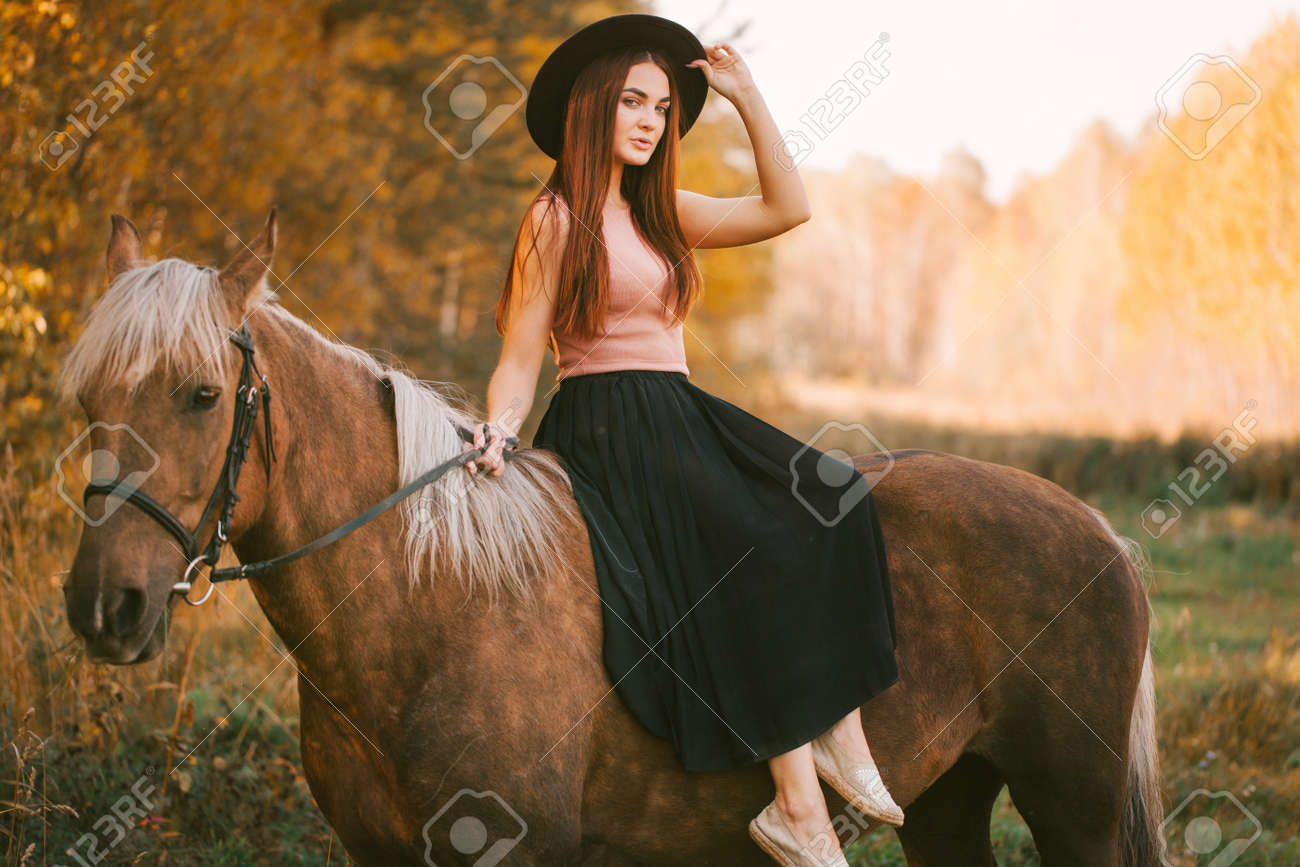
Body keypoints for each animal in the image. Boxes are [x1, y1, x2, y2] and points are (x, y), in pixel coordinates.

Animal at [61, 210, 1170, 867]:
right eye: (86, 398)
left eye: (203, 396)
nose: (104, 607)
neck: (430, 607)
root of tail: (1096, 529)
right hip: (949, 801)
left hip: (1071, 803)